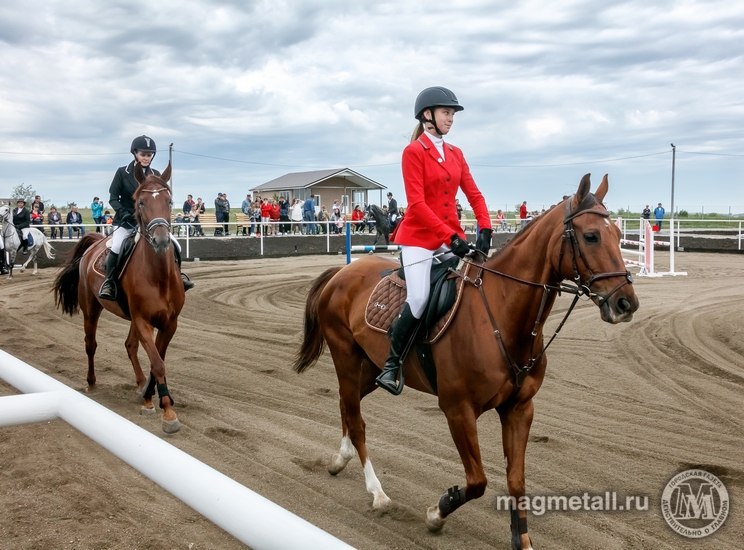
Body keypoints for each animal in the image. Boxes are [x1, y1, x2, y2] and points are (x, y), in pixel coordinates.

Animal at [52, 164, 185, 436]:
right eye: (141, 202)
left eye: (169, 201)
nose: (161, 240)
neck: (159, 276)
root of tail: (94, 245)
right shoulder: (143, 320)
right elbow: (158, 363)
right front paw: (167, 413)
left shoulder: (169, 323)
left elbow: (157, 359)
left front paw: (150, 397)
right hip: (91, 310)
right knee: (90, 344)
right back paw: (91, 382)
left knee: (130, 346)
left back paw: (141, 384)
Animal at [294, 176, 644, 548]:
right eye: (591, 236)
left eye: (618, 235)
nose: (626, 304)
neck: (501, 317)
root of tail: (342, 271)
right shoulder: (457, 410)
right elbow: (478, 481)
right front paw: (437, 512)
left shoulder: (519, 409)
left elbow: (516, 481)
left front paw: (522, 540)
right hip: (345, 356)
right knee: (356, 418)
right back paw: (377, 494)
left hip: (372, 365)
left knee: (349, 405)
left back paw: (339, 459)